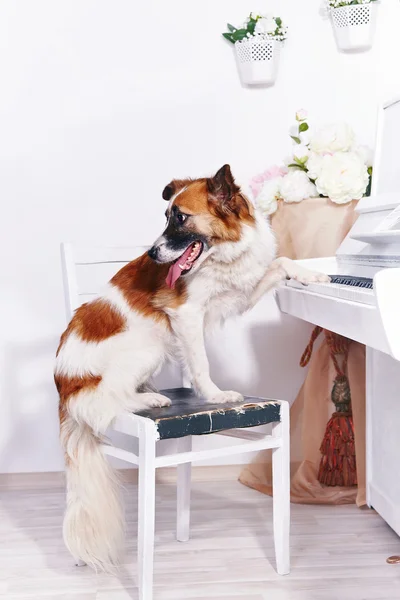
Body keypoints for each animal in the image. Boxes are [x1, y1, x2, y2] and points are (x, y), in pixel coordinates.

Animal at [53, 164, 328, 572]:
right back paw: (150, 401)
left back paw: (149, 392)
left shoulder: (239, 294)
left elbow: (279, 264)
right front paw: (215, 394)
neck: (223, 252)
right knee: (109, 396)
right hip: (147, 344)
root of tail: (65, 382)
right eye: (166, 216)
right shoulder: (185, 315)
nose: (152, 253)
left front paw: (313, 275)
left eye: (180, 217)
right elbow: (200, 362)